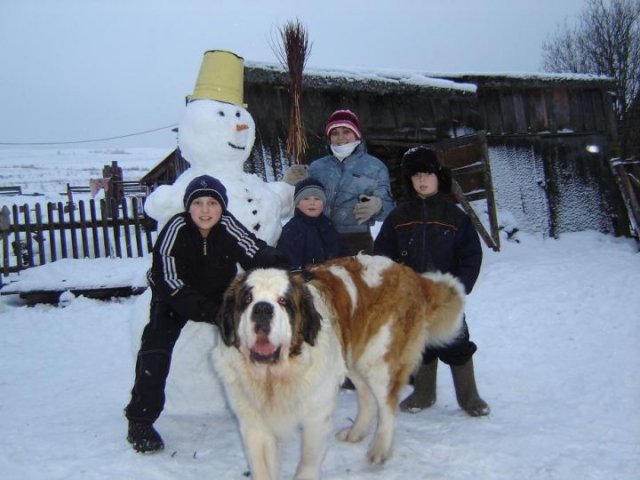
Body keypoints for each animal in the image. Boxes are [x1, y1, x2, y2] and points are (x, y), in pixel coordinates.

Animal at [213, 254, 465, 480]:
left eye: (283, 301)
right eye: (247, 299)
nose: (263, 309)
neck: (275, 376)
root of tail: (408, 272)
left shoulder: (317, 415)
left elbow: (307, 462)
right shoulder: (254, 423)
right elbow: (262, 467)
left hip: (379, 362)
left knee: (387, 406)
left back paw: (379, 449)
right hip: (353, 358)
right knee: (367, 397)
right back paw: (356, 433)